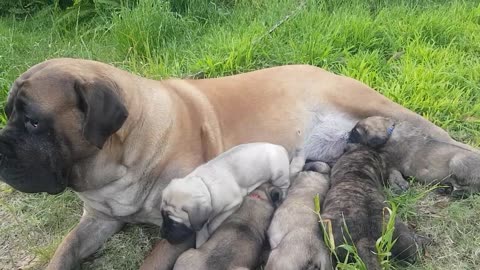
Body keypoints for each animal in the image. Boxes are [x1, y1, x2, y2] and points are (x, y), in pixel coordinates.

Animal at [161, 142, 302, 248]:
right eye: (162, 216)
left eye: (174, 223)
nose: (162, 234)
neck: (204, 184)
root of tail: (281, 148)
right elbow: (201, 229)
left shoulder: (233, 205)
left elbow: (215, 221)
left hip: (278, 176)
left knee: (284, 186)